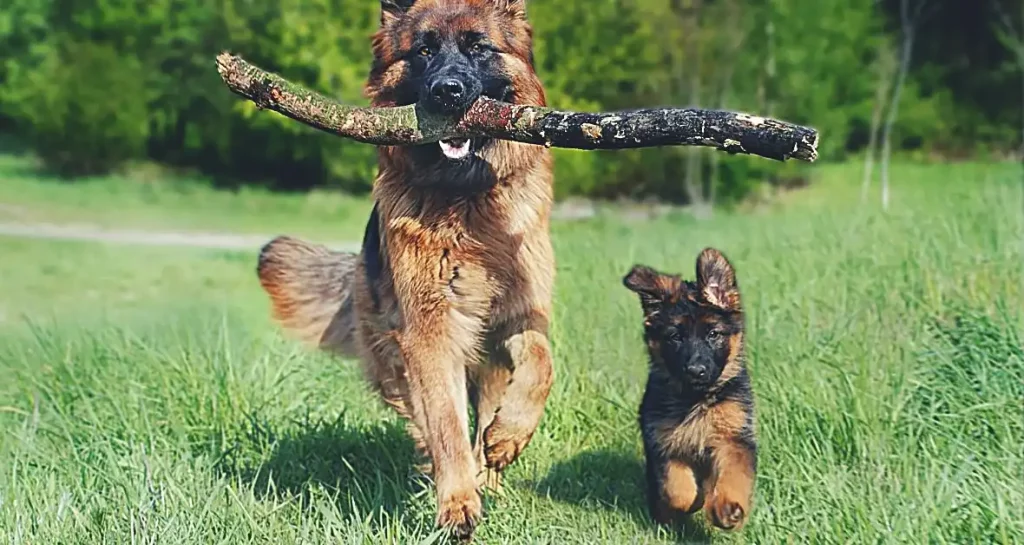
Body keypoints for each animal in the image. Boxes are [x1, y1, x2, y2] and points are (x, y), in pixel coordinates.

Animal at [260, 0, 557, 536]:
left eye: (479, 48)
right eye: (423, 52)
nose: (448, 91)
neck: (466, 199)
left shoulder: (521, 315)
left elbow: (542, 366)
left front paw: (509, 435)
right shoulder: (429, 332)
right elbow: (445, 422)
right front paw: (457, 501)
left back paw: (492, 468)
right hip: (396, 353)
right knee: (428, 417)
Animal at [618, 249, 757, 532]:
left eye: (713, 334)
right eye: (675, 337)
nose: (696, 370)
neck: (697, 399)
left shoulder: (734, 438)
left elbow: (733, 475)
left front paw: (727, 509)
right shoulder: (664, 443)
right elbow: (677, 488)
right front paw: (694, 501)